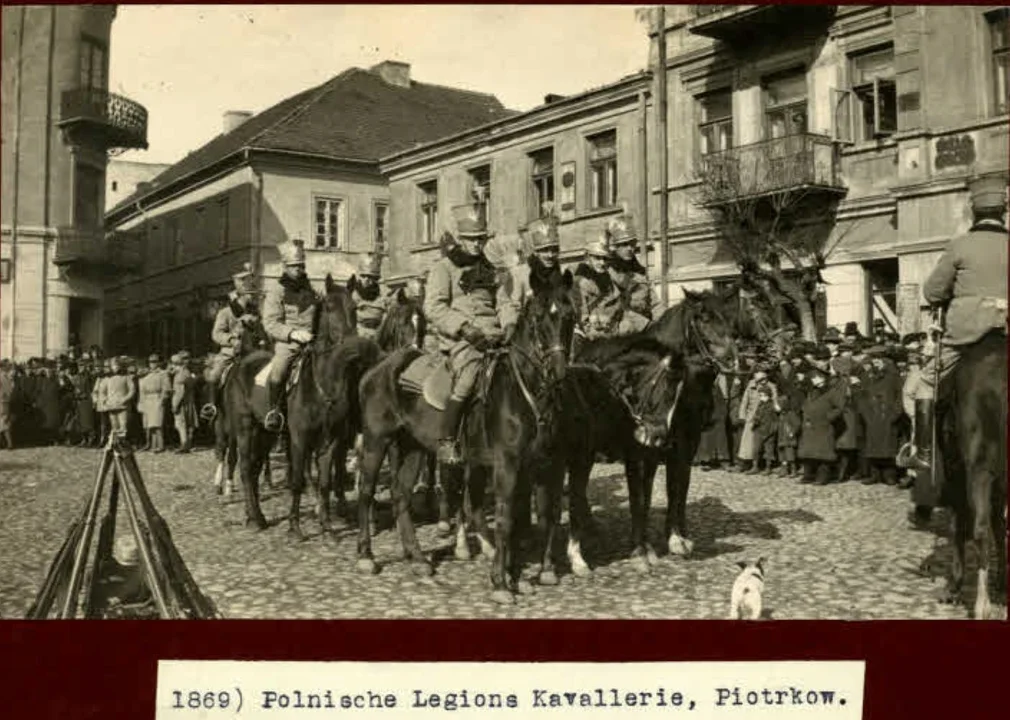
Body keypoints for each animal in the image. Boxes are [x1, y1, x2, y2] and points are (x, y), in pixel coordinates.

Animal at [355, 264, 577, 601]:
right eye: (539, 317)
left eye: (569, 315)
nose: (559, 372)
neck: (523, 390)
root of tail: (380, 366)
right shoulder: (506, 464)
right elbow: (505, 519)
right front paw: (500, 582)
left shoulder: (536, 464)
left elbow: (525, 519)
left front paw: (516, 575)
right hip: (376, 440)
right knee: (367, 491)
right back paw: (366, 557)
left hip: (414, 447)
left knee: (400, 494)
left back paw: (418, 560)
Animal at [565, 288, 739, 577]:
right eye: (703, 318)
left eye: (731, 317)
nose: (731, 359)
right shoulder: (638, 452)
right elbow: (639, 498)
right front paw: (640, 551)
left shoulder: (684, 446)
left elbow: (676, 490)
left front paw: (677, 539)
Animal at [933, 331, 1005, 618]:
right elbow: (1000, 526)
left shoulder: (957, 476)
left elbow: (959, 526)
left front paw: (954, 585)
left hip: (977, 471)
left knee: (980, 528)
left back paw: (982, 604)